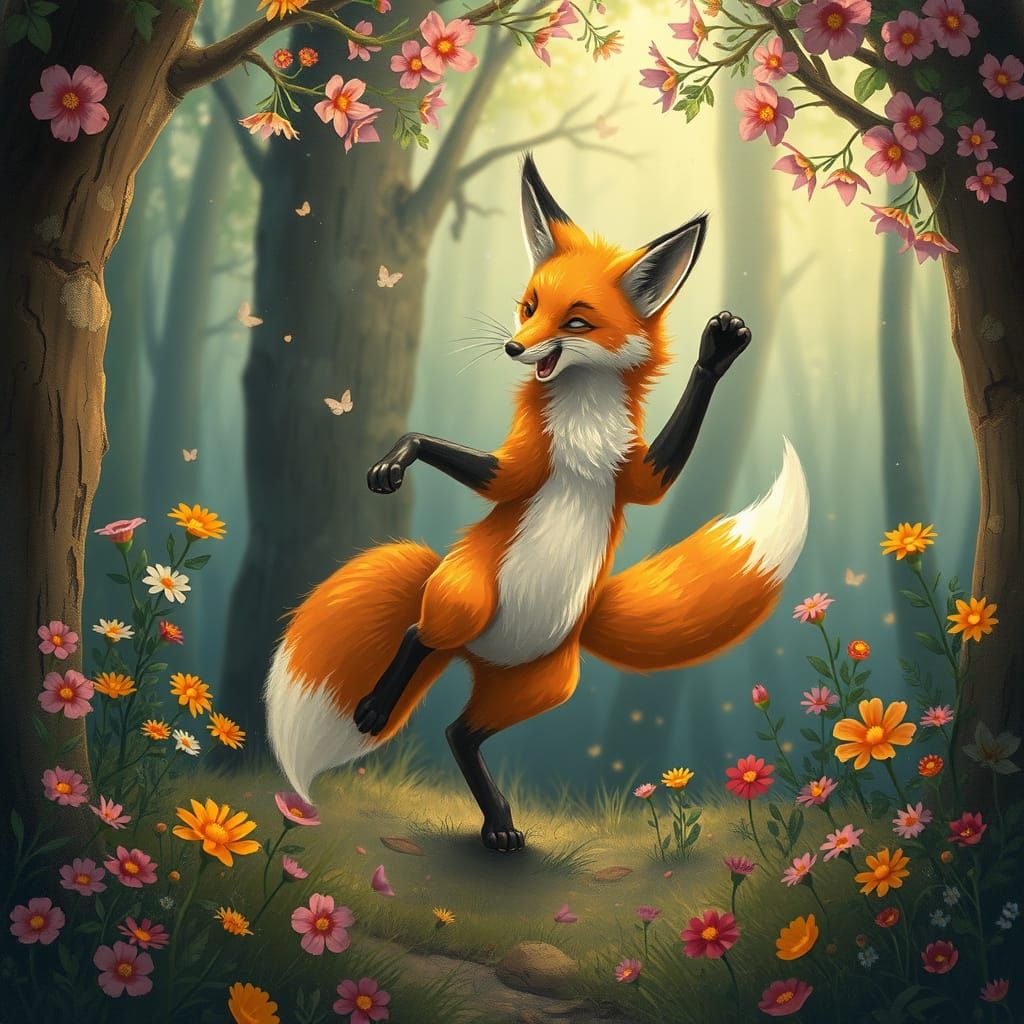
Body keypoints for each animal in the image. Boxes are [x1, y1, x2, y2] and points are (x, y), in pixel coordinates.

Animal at [265, 155, 809, 852]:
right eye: (527, 307)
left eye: (575, 322)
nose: (513, 348)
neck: (582, 427)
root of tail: (476, 653)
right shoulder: (523, 467)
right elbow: (487, 475)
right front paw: (396, 460)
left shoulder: (635, 473)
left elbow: (656, 477)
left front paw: (719, 350)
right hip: (467, 598)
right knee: (416, 634)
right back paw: (377, 707)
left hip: (546, 684)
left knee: (459, 733)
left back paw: (498, 823)